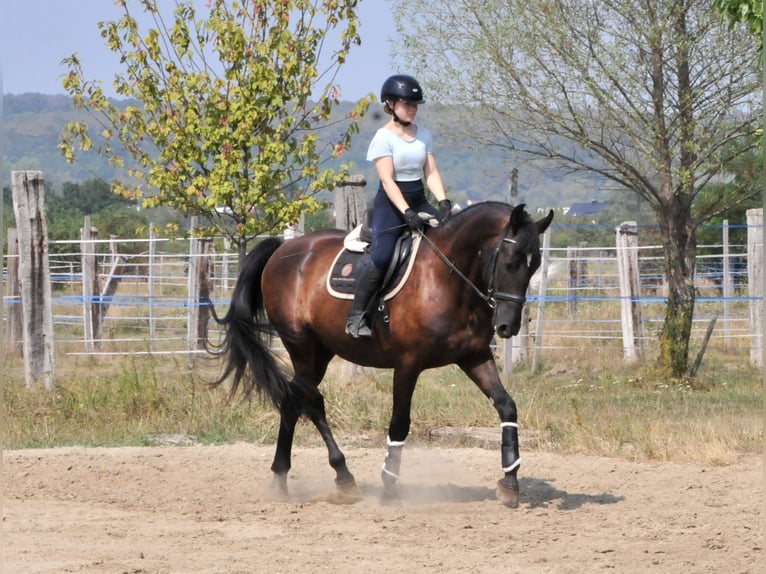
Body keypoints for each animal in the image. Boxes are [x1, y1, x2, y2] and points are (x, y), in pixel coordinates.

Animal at [213, 202, 556, 508]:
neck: (446, 278)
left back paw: (311, 478)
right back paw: (314, 477)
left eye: (535, 264)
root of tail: (284, 248)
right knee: (303, 400)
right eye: (510, 262)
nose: (508, 326)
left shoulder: (474, 357)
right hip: (303, 348)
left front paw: (510, 482)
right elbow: (399, 423)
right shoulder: (407, 364)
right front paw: (389, 487)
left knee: (296, 402)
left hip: (320, 352)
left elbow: (506, 406)